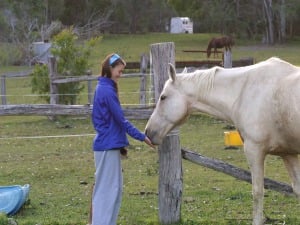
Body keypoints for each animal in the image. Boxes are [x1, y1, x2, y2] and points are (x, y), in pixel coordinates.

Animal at [145, 57, 300, 225]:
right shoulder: (288, 153)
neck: (244, 91)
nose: (148, 132)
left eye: (163, 97)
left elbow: (258, 192)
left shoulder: (254, 150)